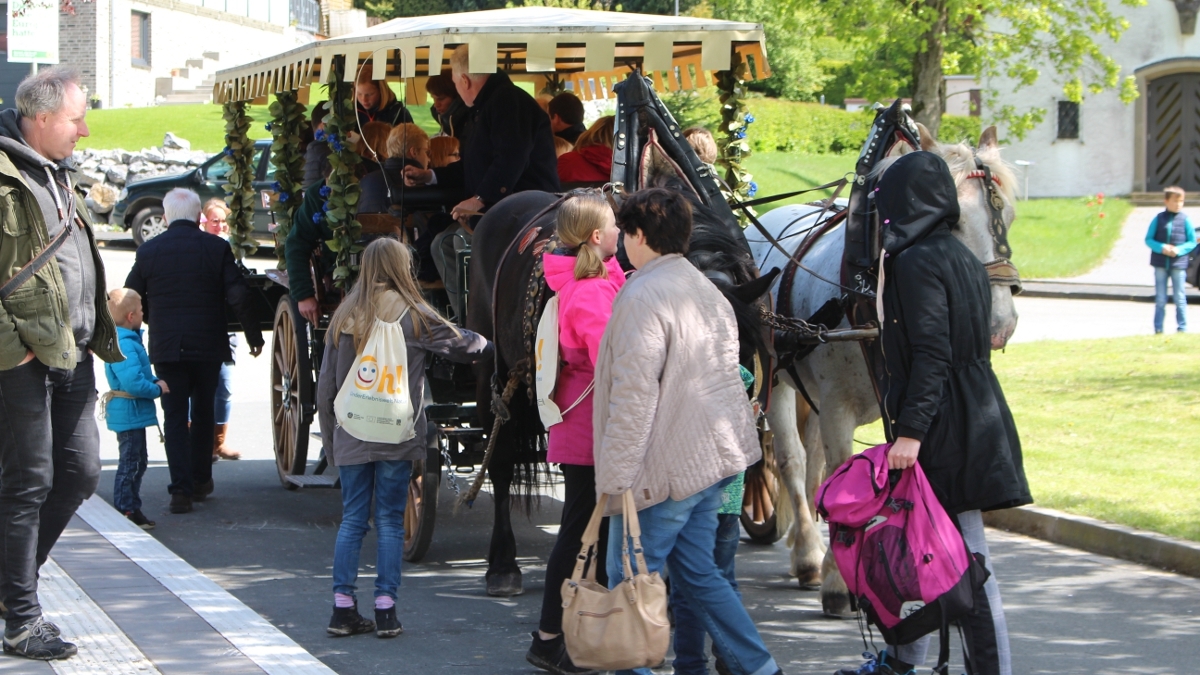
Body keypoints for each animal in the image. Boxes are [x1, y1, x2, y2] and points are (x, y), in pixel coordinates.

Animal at [753, 123, 1017, 612]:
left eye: (1007, 214)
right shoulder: (837, 406)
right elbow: (839, 473)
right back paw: (807, 554)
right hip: (777, 377)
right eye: (952, 221)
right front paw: (839, 581)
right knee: (793, 461)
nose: (999, 325)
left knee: (812, 460)